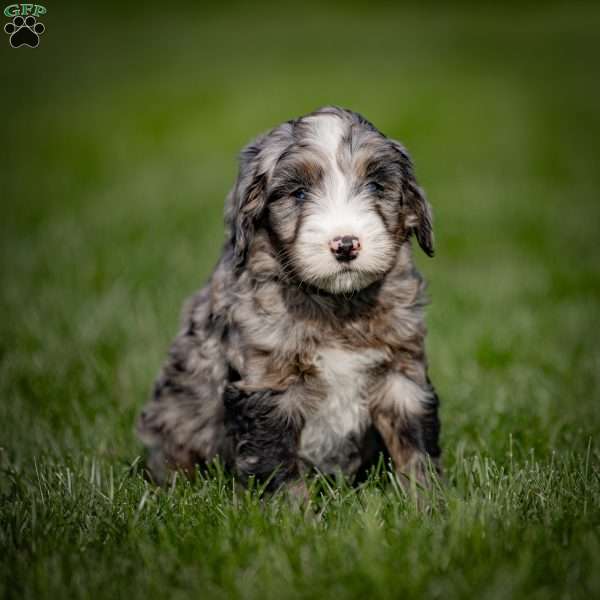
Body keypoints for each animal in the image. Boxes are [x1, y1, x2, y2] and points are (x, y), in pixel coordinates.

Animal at [138, 106, 442, 492]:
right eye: (298, 193)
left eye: (376, 186)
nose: (346, 244)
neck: (337, 308)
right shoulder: (269, 384)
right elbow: (278, 468)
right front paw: (292, 508)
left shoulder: (402, 374)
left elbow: (415, 449)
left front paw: (427, 501)